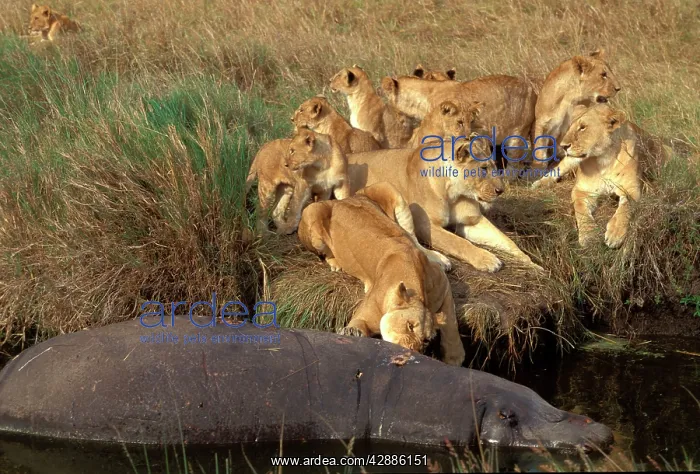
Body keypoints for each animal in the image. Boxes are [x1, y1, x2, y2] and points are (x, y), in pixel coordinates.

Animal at [298, 182, 465, 366]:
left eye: (426, 340)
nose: (413, 351)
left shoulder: (442, 282)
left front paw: (455, 356)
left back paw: (441, 259)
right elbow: (357, 326)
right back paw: (336, 263)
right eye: (409, 326)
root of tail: (343, 199)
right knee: (325, 252)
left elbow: (451, 322)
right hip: (312, 212)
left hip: (389, 189)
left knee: (413, 237)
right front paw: (351, 333)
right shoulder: (364, 316)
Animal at [346, 139, 542, 272]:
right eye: (483, 168)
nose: (501, 190)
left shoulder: (472, 221)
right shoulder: (426, 226)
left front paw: (531, 263)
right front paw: (487, 259)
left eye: (494, 166)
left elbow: (505, 239)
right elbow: (458, 242)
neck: (453, 193)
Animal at [557, 104, 641, 248]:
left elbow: (626, 208)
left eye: (582, 127)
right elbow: (580, 210)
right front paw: (588, 235)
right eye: (570, 127)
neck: (604, 159)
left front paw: (615, 233)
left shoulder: (632, 189)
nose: (563, 146)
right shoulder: (581, 190)